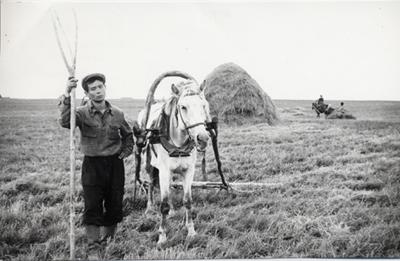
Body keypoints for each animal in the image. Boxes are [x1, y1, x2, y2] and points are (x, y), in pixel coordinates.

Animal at [138, 79, 211, 244]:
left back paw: (172, 210)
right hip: (150, 165)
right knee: (150, 184)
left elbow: (187, 201)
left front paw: (190, 231)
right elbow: (163, 204)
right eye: (183, 107)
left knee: (170, 187)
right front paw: (162, 236)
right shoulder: (164, 171)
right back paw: (149, 207)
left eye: (203, 105)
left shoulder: (188, 171)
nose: (202, 138)